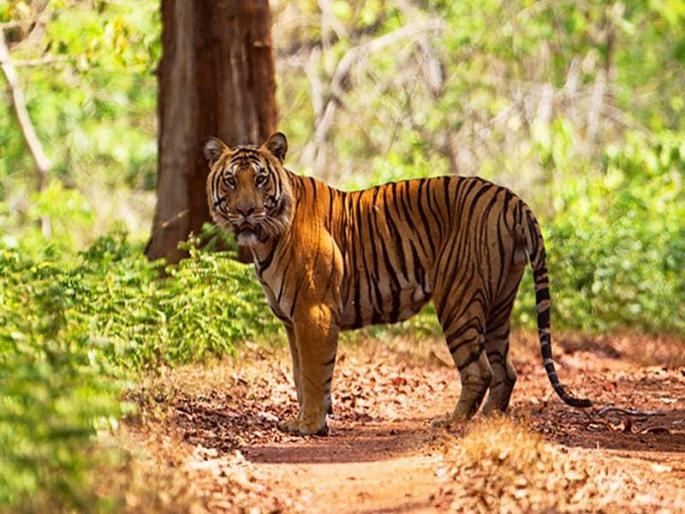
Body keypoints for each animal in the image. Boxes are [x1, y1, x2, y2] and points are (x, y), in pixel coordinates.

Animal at [204, 132, 591, 436]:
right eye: (230, 181)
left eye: (260, 180)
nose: (245, 212)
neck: (265, 240)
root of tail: (511, 198)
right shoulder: (291, 320)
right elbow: (301, 375)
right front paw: (308, 420)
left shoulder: (313, 312)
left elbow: (313, 374)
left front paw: (310, 426)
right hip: (499, 303)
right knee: (505, 371)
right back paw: (488, 422)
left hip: (458, 299)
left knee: (479, 370)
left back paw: (453, 422)